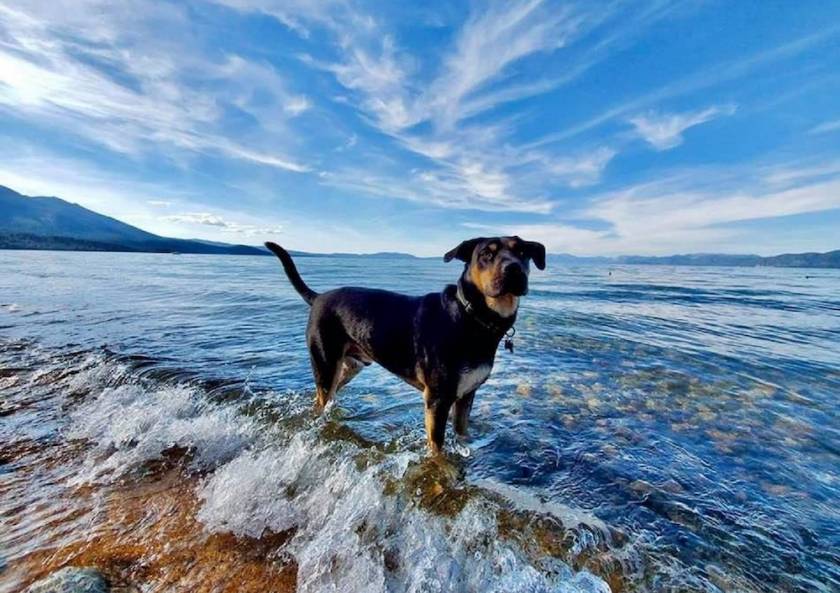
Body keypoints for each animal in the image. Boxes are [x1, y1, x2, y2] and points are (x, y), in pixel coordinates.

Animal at [266, 236, 548, 454]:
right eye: (486, 254)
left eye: (522, 252)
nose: (514, 269)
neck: (472, 317)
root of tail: (318, 297)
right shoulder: (437, 399)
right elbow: (437, 448)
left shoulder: (467, 394)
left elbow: (462, 434)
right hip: (326, 363)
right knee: (322, 396)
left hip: (348, 367)